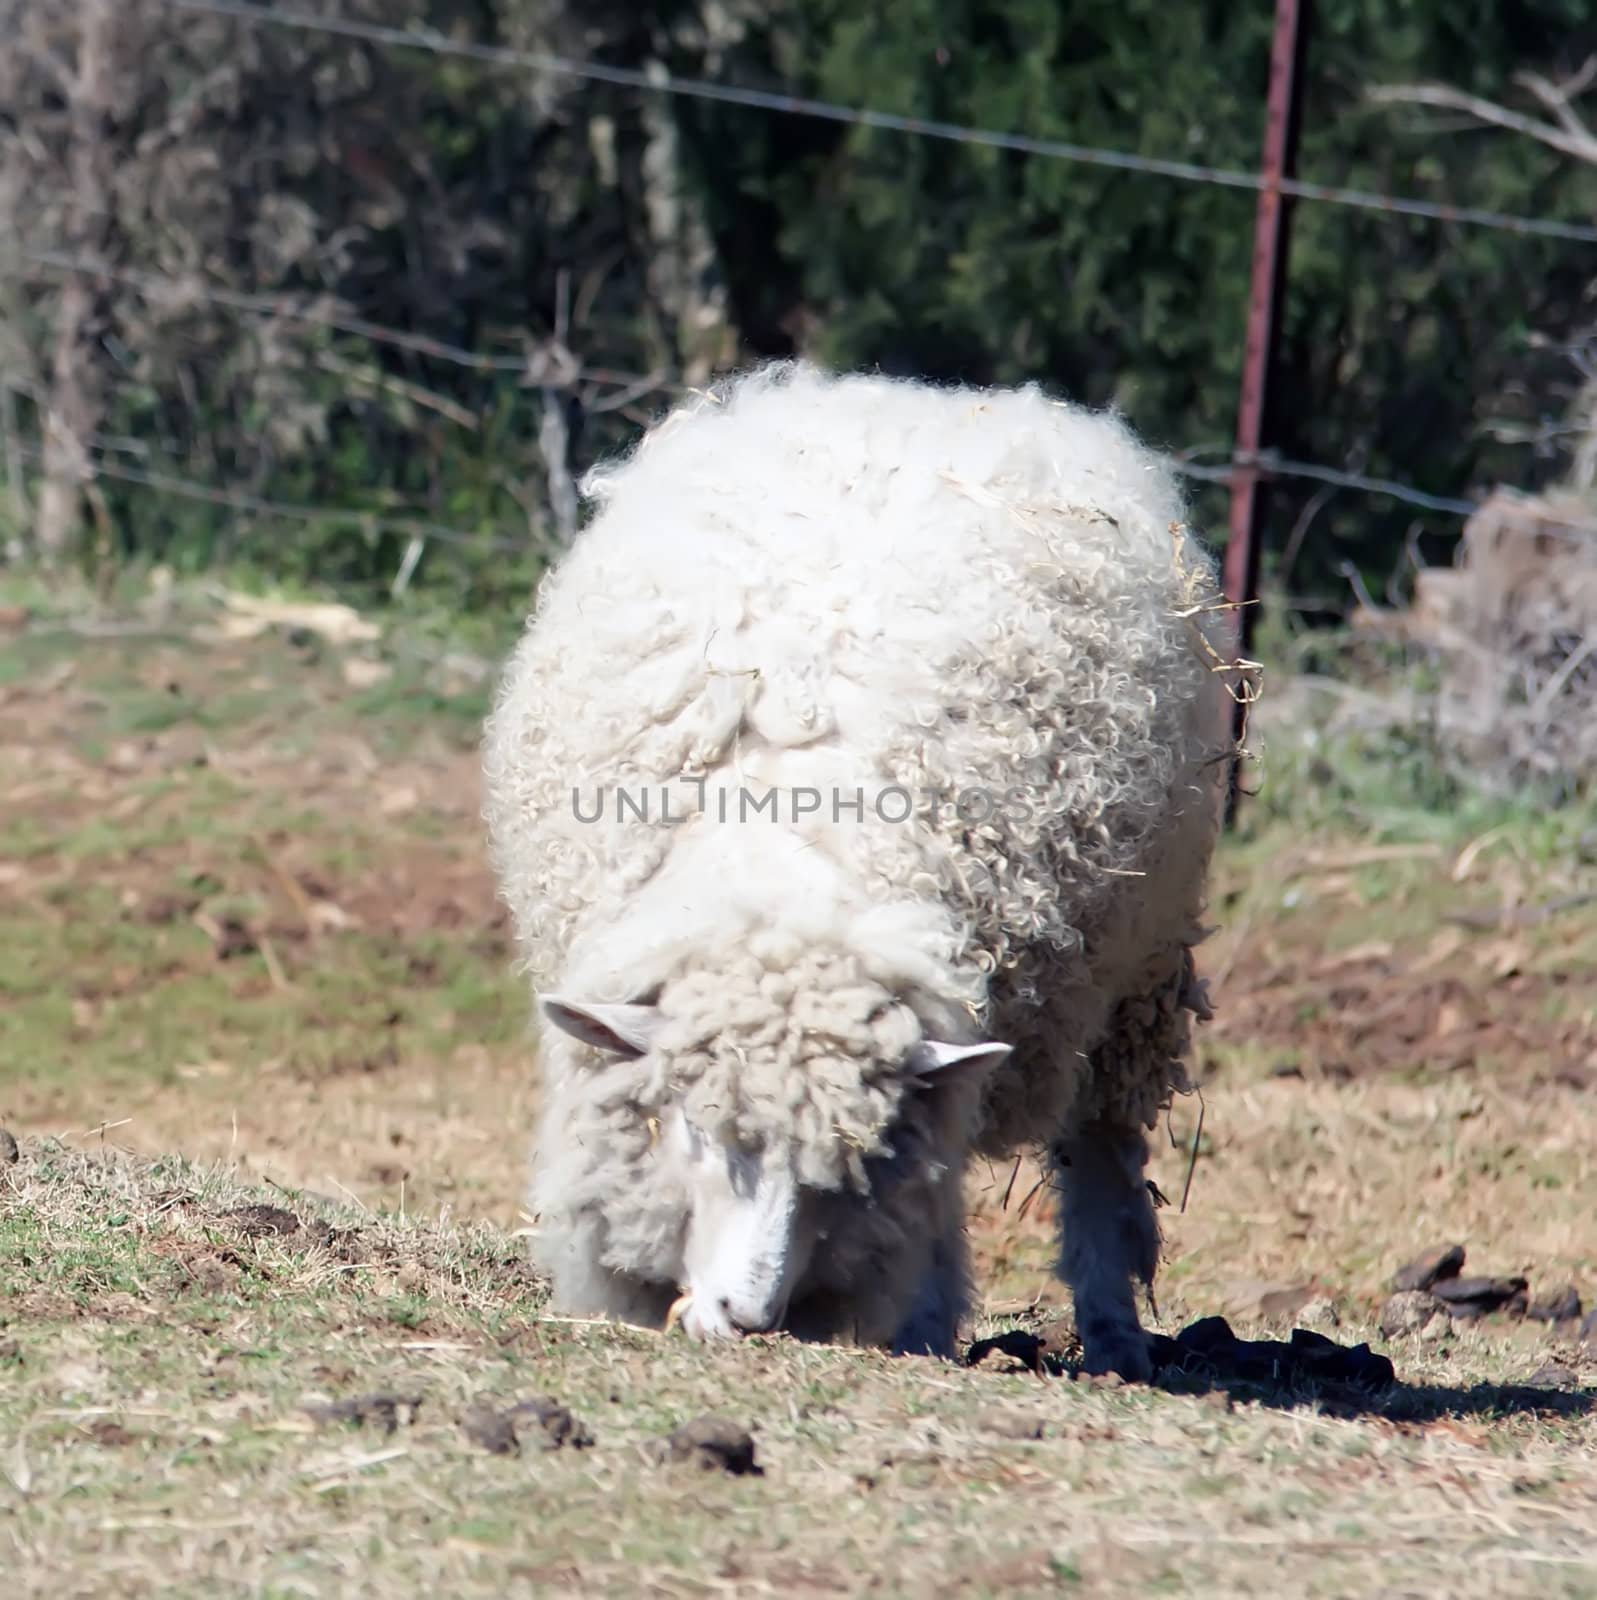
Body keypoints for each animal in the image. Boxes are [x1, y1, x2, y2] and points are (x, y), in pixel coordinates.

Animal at [483, 356, 1235, 1382]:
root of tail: (920, 393)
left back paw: (1112, 1331)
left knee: (1100, 1150)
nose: (747, 1317)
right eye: (693, 1129)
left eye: (843, 1169)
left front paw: (916, 1326)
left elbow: (932, 1194)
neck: (777, 873)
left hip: (1138, 978)